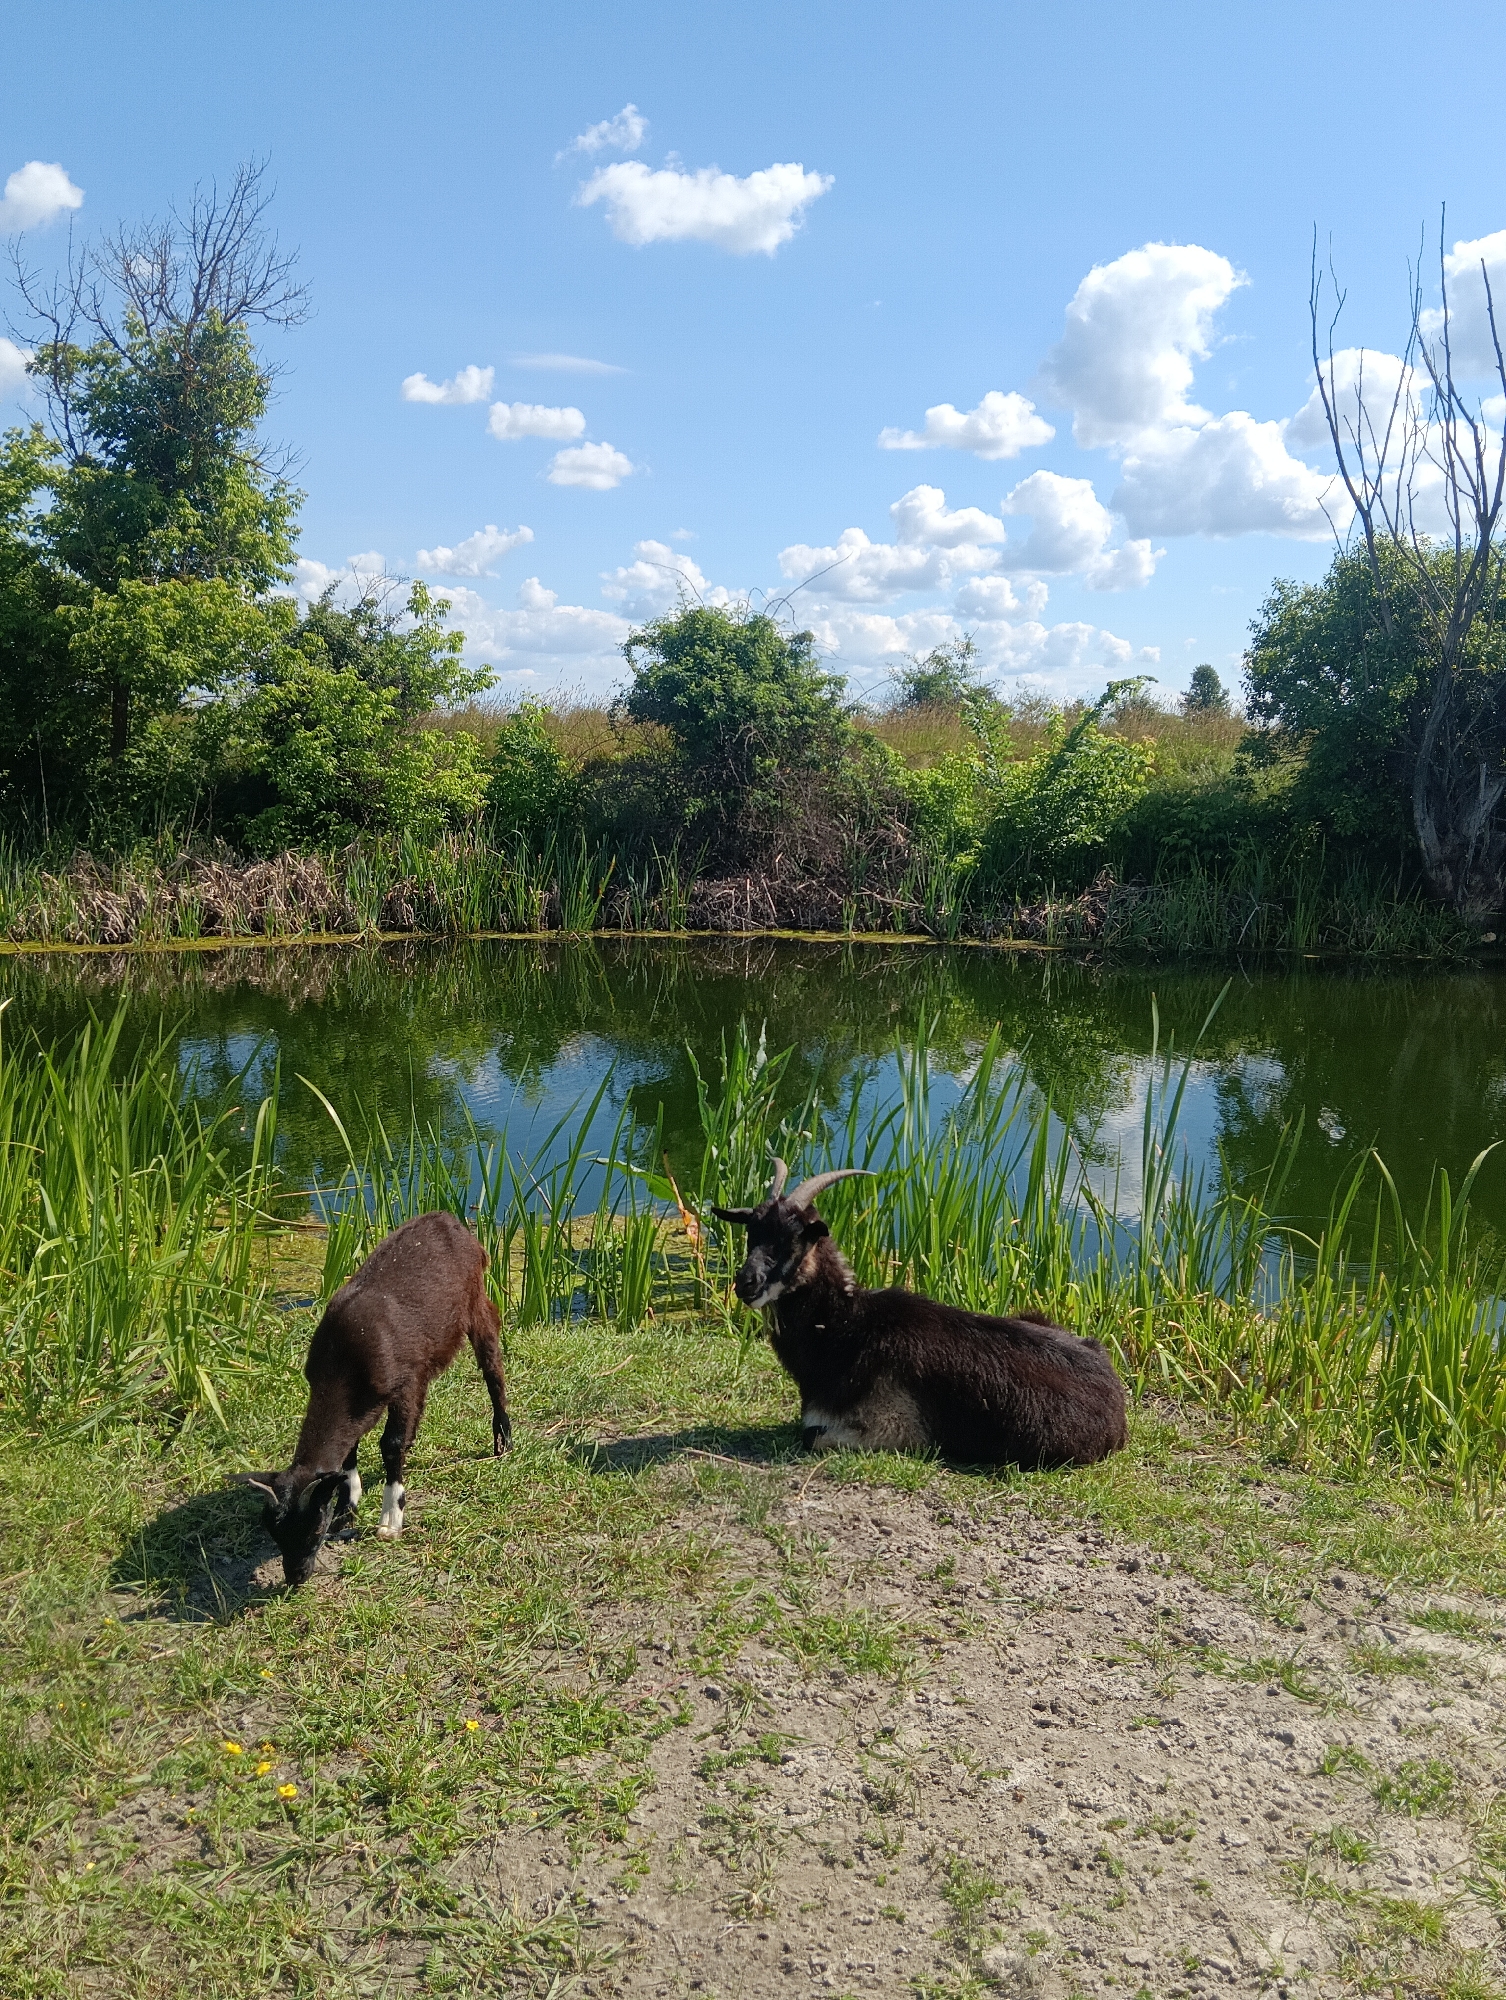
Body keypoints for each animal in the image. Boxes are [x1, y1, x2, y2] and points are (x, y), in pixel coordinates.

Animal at [245, 1210, 510, 1586]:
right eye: (275, 1534)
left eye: (314, 1530)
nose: (296, 1577)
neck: (342, 1364)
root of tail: (449, 1219)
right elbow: (351, 1448)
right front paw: (347, 1504)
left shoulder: (406, 1382)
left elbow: (391, 1444)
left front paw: (391, 1520)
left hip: (475, 1303)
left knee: (492, 1364)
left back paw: (503, 1437)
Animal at [712, 1161, 1126, 1469]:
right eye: (751, 1232)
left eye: (794, 1239)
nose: (746, 1283)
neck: (848, 1330)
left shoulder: (896, 1428)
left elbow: (810, 1435)